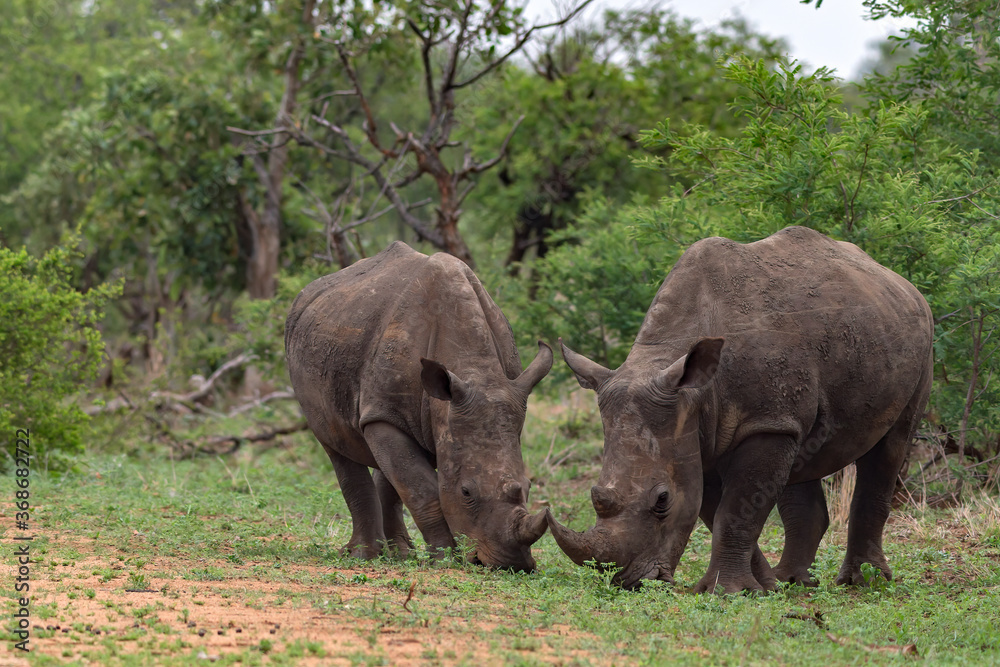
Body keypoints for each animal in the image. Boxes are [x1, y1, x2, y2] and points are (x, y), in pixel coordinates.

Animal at [288, 243, 556, 572]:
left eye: (529, 487)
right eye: (466, 492)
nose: (512, 564)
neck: (477, 372)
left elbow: (410, 477)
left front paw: (433, 556)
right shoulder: (384, 415)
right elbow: (423, 490)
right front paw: (445, 558)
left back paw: (401, 554)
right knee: (336, 445)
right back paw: (364, 555)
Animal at [548, 227, 928, 592]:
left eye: (662, 500)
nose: (631, 582)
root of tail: (900, 282)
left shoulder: (760, 423)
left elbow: (734, 511)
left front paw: (729, 591)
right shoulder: (698, 431)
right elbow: (719, 509)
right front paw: (762, 586)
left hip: (920, 336)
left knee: (892, 445)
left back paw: (864, 582)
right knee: (803, 454)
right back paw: (792, 581)